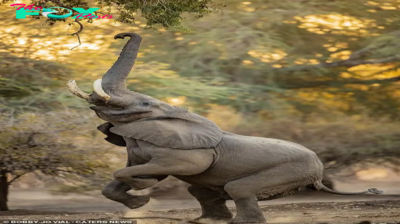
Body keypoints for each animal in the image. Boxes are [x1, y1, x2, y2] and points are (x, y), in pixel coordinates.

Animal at [67, 33, 382, 224]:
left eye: (144, 102)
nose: (119, 34)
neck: (173, 113)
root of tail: (319, 174)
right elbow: (130, 174)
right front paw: (138, 198)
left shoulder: (187, 151)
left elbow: (179, 167)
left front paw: (142, 189)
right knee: (200, 191)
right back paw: (207, 220)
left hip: (292, 171)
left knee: (236, 188)